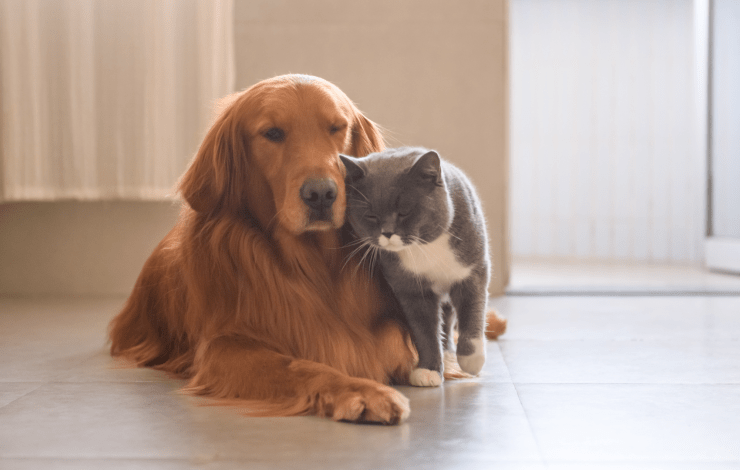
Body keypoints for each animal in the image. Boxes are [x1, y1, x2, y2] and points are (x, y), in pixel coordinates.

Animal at [342, 146, 492, 386]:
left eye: (404, 211)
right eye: (371, 216)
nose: (387, 232)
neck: (424, 247)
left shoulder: (472, 271)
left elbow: (472, 312)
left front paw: (471, 360)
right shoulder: (411, 288)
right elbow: (424, 330)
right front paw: (428, 371)